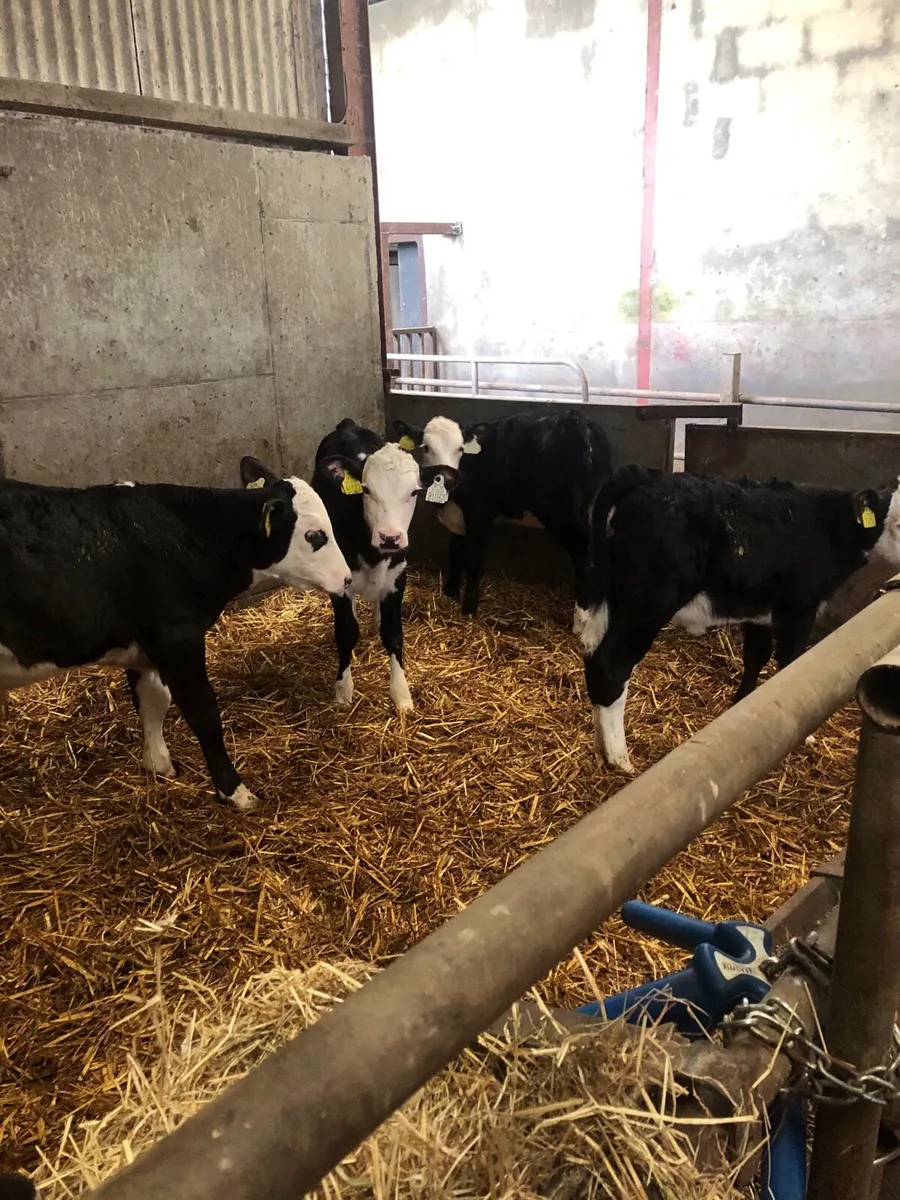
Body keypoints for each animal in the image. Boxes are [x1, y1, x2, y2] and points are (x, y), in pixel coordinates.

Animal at [0, 475, 351, 811]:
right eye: (315, 536)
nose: (347, 578)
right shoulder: (177, 640)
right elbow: (204, 713)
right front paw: (235, 792)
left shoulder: (144, 646)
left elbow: (153, 700)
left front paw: (159, 765)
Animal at [241, 420, 458, 713]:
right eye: (366, 490)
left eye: (414, 491)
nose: (390, 537)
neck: (371, 551)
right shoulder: (339, 582)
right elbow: (346, 631)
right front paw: (343, 690)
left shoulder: (397, 577)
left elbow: (393, 633)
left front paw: (401, 695)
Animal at [393, 410, 613, 620]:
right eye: (426, 448)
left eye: (461, 449)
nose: (446, 477)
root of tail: (577, 420)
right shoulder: (458, 519)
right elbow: (454, 551)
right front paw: (450, 592)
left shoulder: (478, 513)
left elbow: (473, 559)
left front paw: (469, 607)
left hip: (566, 517)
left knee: (584, 560)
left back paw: (582, 617)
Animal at [576, 465, 900, 774]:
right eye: (898, 523)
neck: (828, 525)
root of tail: (643, 475)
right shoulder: (798, 610)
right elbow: (790, 664)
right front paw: (803, 733)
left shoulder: (758, 612)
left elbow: (756, 657)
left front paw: (742, 705)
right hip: (647, 605)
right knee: (611, 667)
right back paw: (620, 759)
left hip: (610, 600)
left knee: (593, 660)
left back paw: (601, 746)